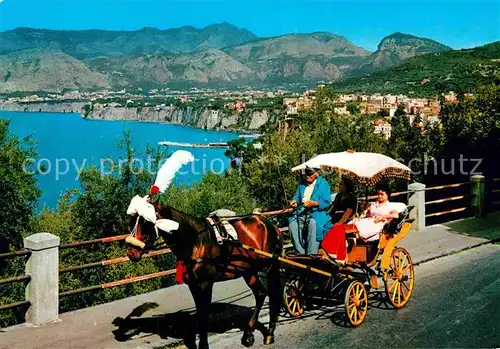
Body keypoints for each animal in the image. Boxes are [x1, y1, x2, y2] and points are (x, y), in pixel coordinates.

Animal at [124, 203, 284, 348]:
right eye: (132, 222)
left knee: (274, 294)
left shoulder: (205, 284)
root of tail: (270, 224)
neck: (195, 242)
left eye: (147, 223)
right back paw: (249, 334)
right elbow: (199, 314)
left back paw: (269, 333)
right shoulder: (193, 285)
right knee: (261, 294)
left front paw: (203, 345)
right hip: (248, 271)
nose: (131, 252)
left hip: (270, 267)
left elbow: (204, 315)